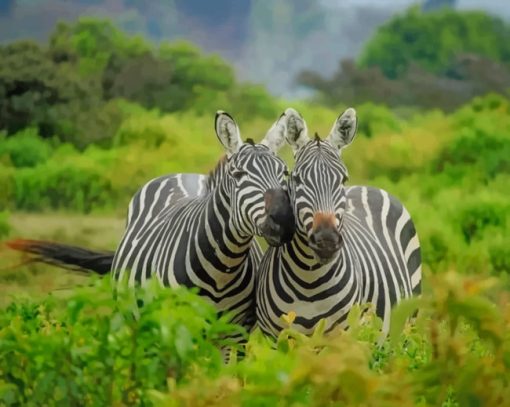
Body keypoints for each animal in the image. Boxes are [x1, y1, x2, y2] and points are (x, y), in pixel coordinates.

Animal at [6, 111, 294, 334]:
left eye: (284, 172)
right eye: (238, 175)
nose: (283, 219)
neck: (222, 268)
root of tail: (181, 174)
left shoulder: (235, 334)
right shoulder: (177, 325)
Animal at [255, 107, 422, 340]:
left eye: (343, 179)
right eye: (296, 179)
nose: (326, 241)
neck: (309, 282)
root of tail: (369, 187)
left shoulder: (342, 338)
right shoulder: (272, 338)